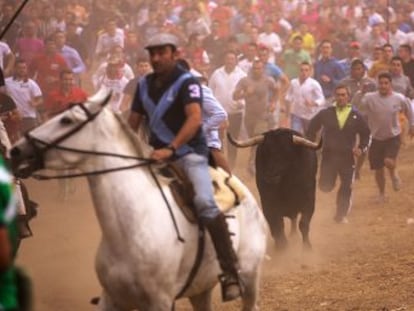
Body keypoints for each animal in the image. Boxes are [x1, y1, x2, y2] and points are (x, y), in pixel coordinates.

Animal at [11, 91, 268, 311]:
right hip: (201, 289)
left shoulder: (159, 301)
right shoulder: (112, 298)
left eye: (66, 120)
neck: (130, 228)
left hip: (250, 277)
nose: (16, 150)